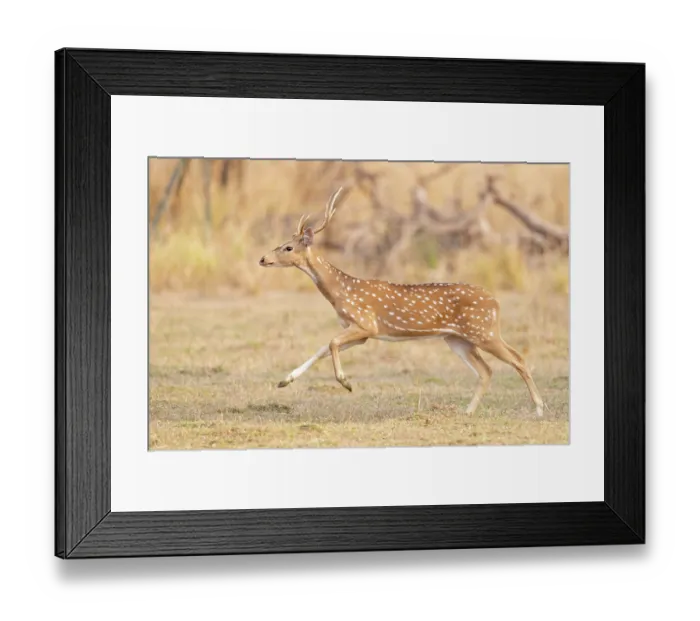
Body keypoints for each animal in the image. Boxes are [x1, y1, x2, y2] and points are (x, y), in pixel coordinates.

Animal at [258, 187, 544, 417]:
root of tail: (496, 302)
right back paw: (468, 411)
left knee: (518, 359)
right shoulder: (360, 332)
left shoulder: (366, 324)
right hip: (458, 339)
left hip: (483, 331)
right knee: (486, 370)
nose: (263, 259)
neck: (340, 291)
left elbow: (330, 343)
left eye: (288, 247)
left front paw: (346, 382)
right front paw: (285, 380)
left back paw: (539, 409)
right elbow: (323, 347)